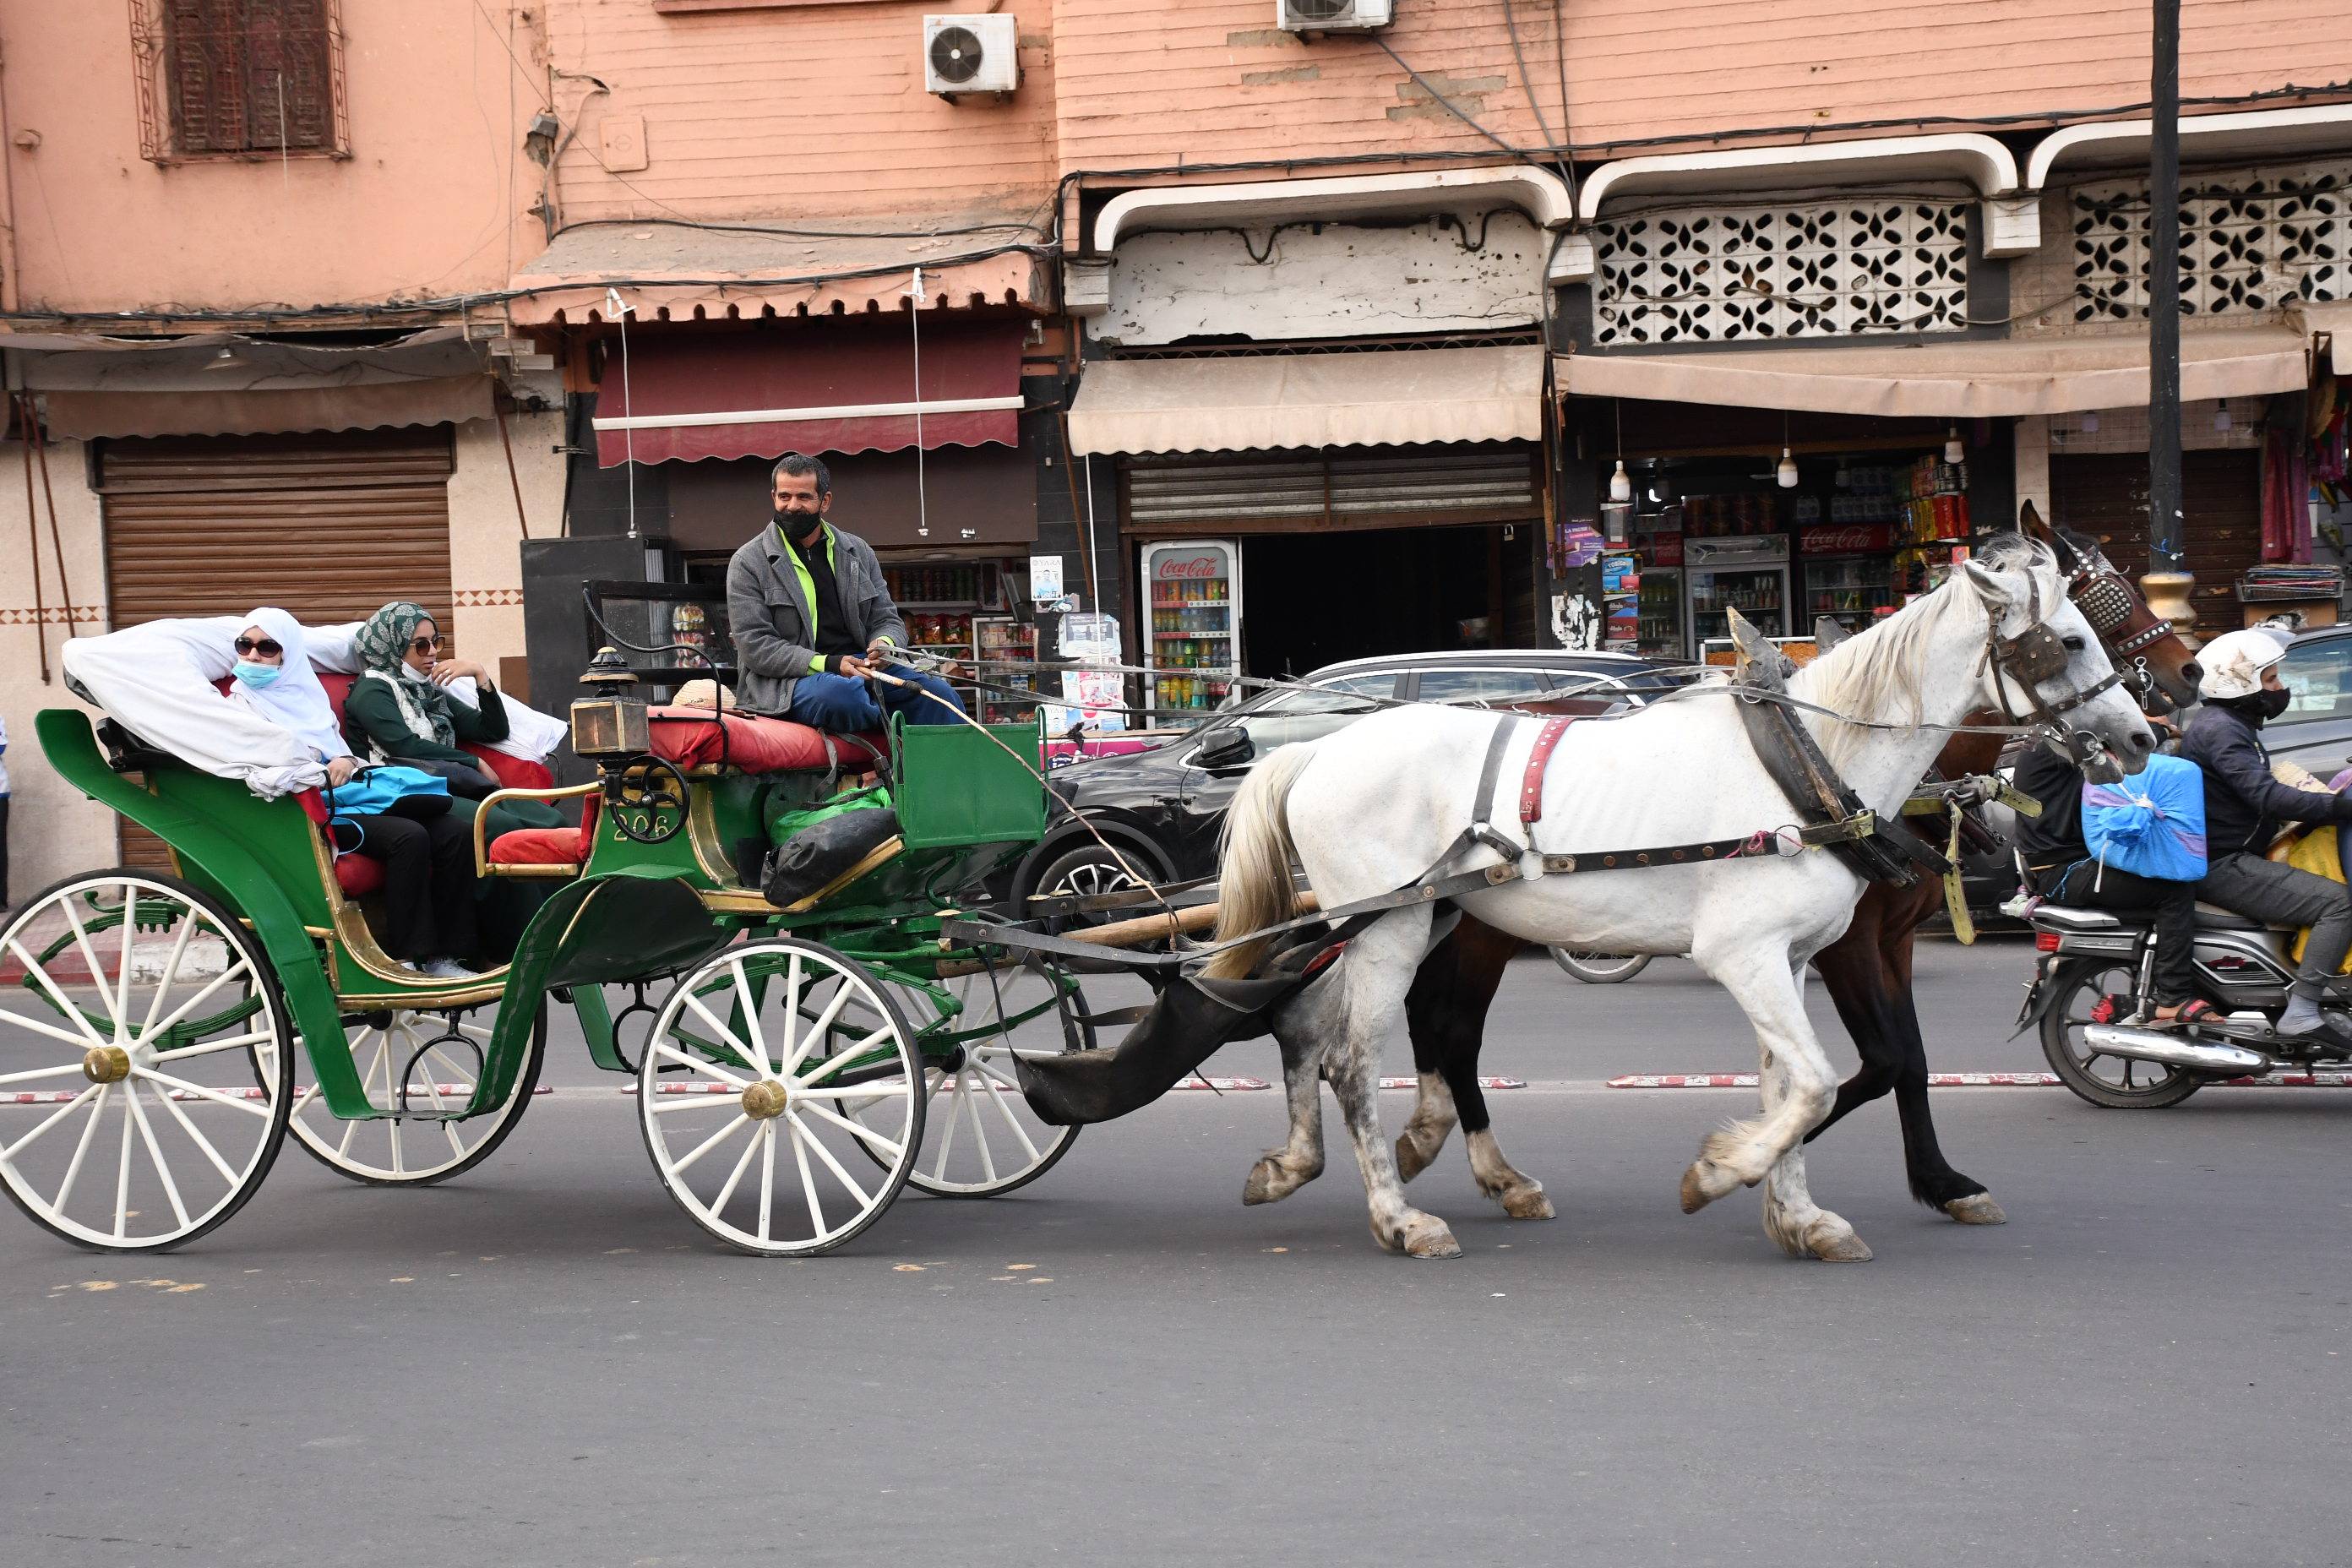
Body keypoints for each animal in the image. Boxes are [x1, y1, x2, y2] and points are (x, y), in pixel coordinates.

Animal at [1213, 541, 2154, 1260]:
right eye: (2074, 639)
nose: (2144, 735)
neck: (1806, 763)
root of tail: (1316, 751)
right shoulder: (1747, 955)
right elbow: (1819, 1083)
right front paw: (1721, 1172)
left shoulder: (1794, 959)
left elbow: (1795, 1082)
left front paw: (1799, 1215)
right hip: (1394, 928)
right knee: (1352, 1059)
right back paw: (1400, 1216)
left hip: (1416, 922)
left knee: (1318, 1027)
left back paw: (1308, 1163)